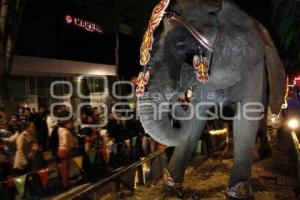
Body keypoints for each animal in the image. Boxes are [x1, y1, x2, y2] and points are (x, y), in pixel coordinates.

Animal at [137, 0, 286, 198]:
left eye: (182, 44)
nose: (179, 99)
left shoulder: (251, 64)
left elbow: (247, 116)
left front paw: (238, 193)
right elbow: (196, 118)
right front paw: (171, 188)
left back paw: (264, 153)